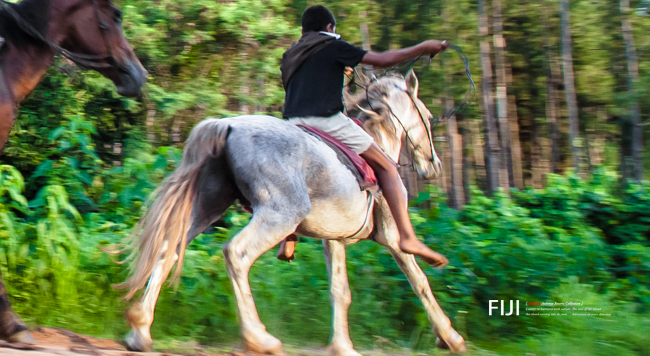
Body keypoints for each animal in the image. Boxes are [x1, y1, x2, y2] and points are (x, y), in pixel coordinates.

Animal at [116, 71, 466, 354]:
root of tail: (227, 124)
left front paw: (342, 347)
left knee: (168, 249)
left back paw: (140, 330)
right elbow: (420, 281)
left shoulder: (333, 239)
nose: (433, 165)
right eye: (427, 115)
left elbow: (340, 291)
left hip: (206, 209)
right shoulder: (393, 238)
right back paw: (259, 339)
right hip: (279, 216)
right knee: (236, 253)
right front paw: (450, 337)